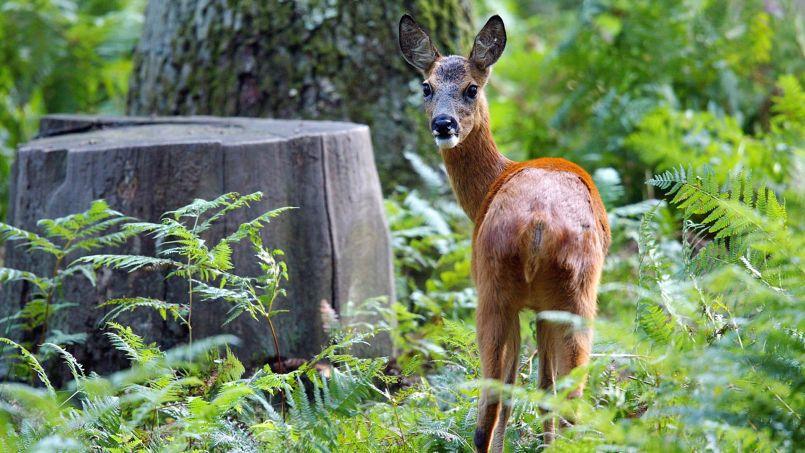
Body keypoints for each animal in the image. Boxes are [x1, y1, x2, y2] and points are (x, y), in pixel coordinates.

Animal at [398, 13, 608, 448]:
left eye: (471, 88)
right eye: (426, 87)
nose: (443, 123)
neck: (493, 182)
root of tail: (538, 224)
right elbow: (542, 390)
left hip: (502, 289)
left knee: (500, 405)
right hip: (565, 293)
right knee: (548, 403)